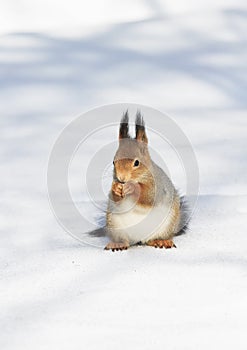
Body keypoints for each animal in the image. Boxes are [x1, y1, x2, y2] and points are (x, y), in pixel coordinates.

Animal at [104, 110, 187, 250]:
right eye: (114, 161)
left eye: (137, 163)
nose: (122, 178)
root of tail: (139, 238)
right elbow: (115, 200)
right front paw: (116, 188)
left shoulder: (158, 187)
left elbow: (148, 196)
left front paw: (132, 187)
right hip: (115, 224)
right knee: (125, 240)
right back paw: (118, 244)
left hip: (167, 224)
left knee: (152, 239)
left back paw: (161, 241)